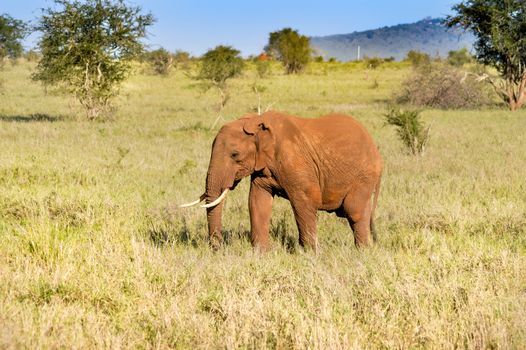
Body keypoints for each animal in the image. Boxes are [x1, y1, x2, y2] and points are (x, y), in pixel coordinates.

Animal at [182, 111, 384, 252]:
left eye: (235, 154)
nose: (217, 248)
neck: (256, 122)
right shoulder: (262, 166)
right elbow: (257, 202)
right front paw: (261, 253)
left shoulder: (295, 162)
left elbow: (305, 202)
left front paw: (310, 254)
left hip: (364, 175)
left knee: (354, 211)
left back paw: (362, 252)